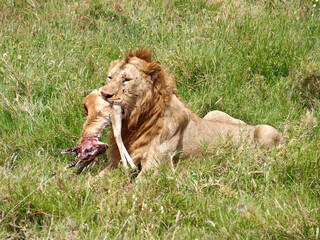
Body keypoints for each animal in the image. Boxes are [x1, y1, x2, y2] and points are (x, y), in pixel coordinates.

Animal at [96, 47, 282, 174]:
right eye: (110, 77)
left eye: (126, 79)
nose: (104, 93)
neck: (136, 123)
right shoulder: (117, 163)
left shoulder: (154, 170)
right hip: (214, 113)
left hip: (266, 131)